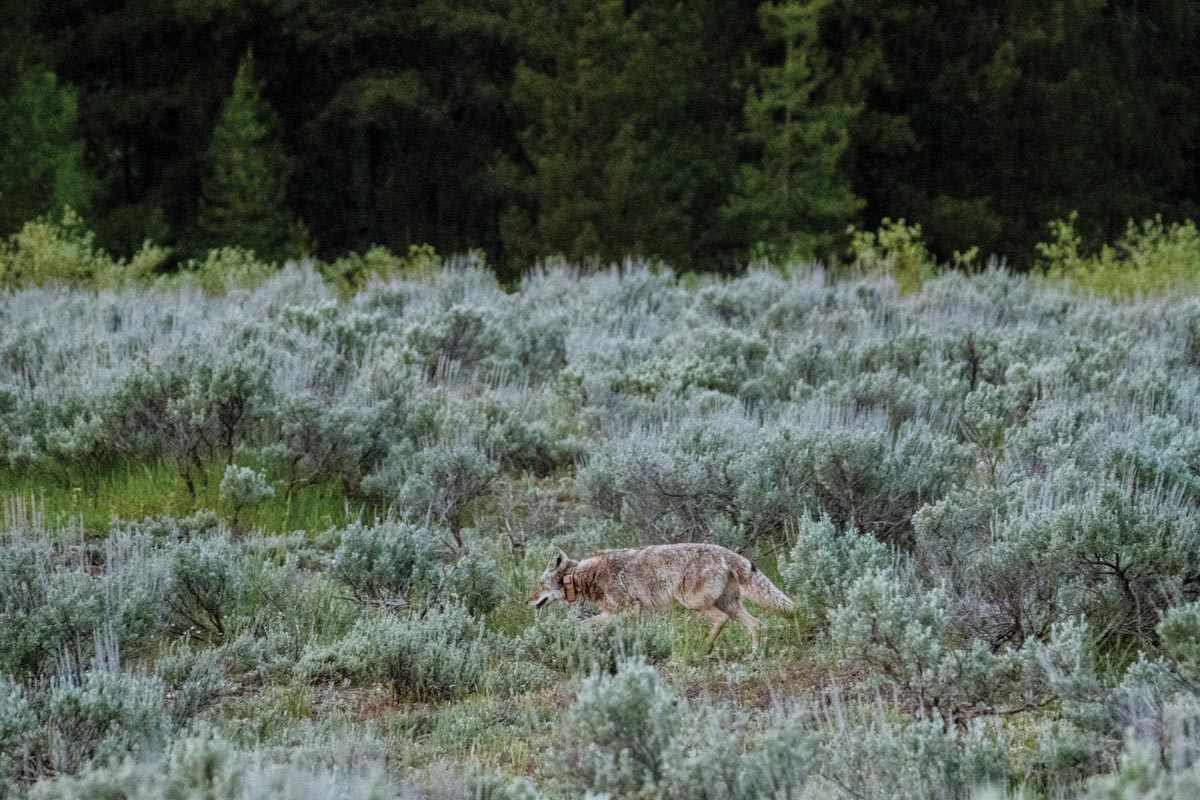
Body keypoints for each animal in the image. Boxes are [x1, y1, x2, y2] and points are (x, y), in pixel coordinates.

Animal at [528, 543, 794, 654]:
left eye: (539, 585)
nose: (527, 602)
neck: (582, 576)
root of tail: (727, 553)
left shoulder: (630, 610)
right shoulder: (613, 613)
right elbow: (583, 626)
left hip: (695, 603)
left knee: (721, 621)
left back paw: (703, 648)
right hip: (730, 606)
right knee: (758, 625)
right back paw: (753, 655)